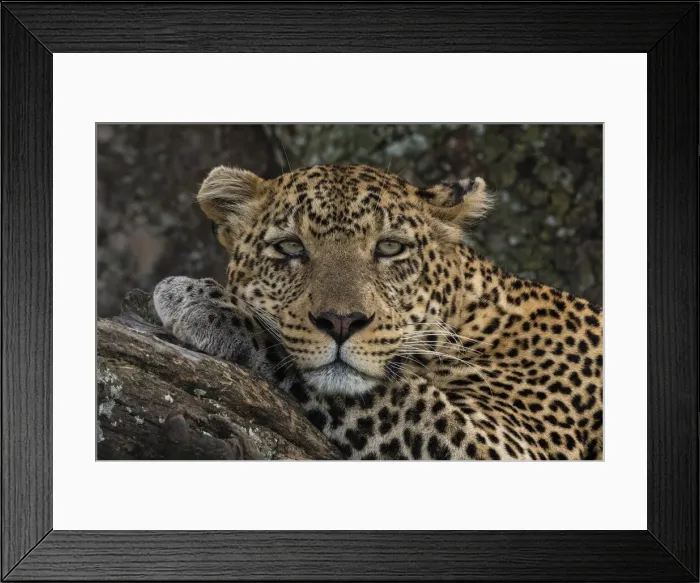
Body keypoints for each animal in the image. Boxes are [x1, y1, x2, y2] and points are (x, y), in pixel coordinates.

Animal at [153, 163, 603, 460]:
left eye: (389, 247)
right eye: (290, 247)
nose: (341, 322)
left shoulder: (509, 445)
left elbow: (394, 392)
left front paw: (204, 304)